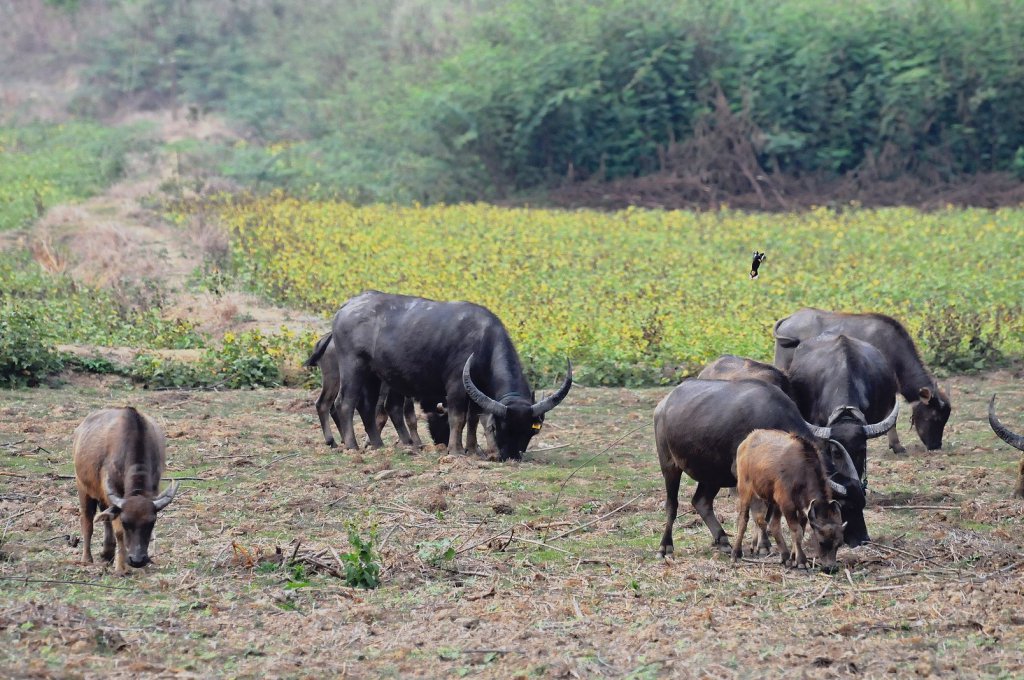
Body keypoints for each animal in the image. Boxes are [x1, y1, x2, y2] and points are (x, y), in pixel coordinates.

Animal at [74, 405, 180, 577]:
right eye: (126, 522)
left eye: (151, 522)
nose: (137, 560)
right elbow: (118, 532)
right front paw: (120, 568)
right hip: (83, 487)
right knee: (87, 520)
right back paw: (87, 559)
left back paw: (107, 553)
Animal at [329, 288, 573, 458]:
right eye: (500, 428)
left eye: (530, 431)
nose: (511, 456)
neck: (483, 342)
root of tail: (347, 306)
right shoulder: (456, 385)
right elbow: (458, 417)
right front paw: (455, 450)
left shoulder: (478, 391)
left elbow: (473, 419)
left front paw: (473, 450)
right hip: (353, 365)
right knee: (345, 403)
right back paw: (352, 446)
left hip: (374, 375)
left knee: (368, 407)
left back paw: (379, 445)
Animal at [733, 430, 843, 569]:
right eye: (821, 542)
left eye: (839, 544)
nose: (832, 567)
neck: (802, 471)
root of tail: (748, 439)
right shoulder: (787, 504)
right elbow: (797, 531)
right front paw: (801, 561)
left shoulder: (801, 508)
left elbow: (801, 529)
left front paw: (794, 556)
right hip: (745, 489)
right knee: (743, 519)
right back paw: (736, 553)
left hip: (773, 501)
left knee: (772, 524)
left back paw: (785, 556)